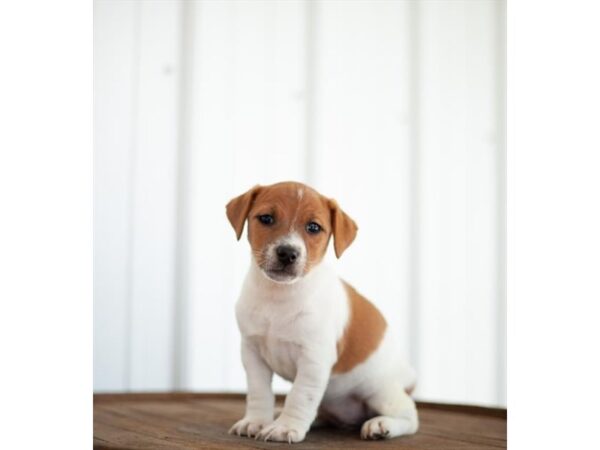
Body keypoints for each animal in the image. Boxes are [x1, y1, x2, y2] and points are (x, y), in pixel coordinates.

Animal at [225, 181, 418, 442]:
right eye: (266, 218)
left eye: (314, 227)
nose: (287, 253)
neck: (279, 296)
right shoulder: (252, 352)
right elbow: (259, 393)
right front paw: (256, 421)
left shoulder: (314, 359)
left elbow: (299, 396)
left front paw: (285, 427)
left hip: (380, 391)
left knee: (410, 416)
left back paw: (381, 425)